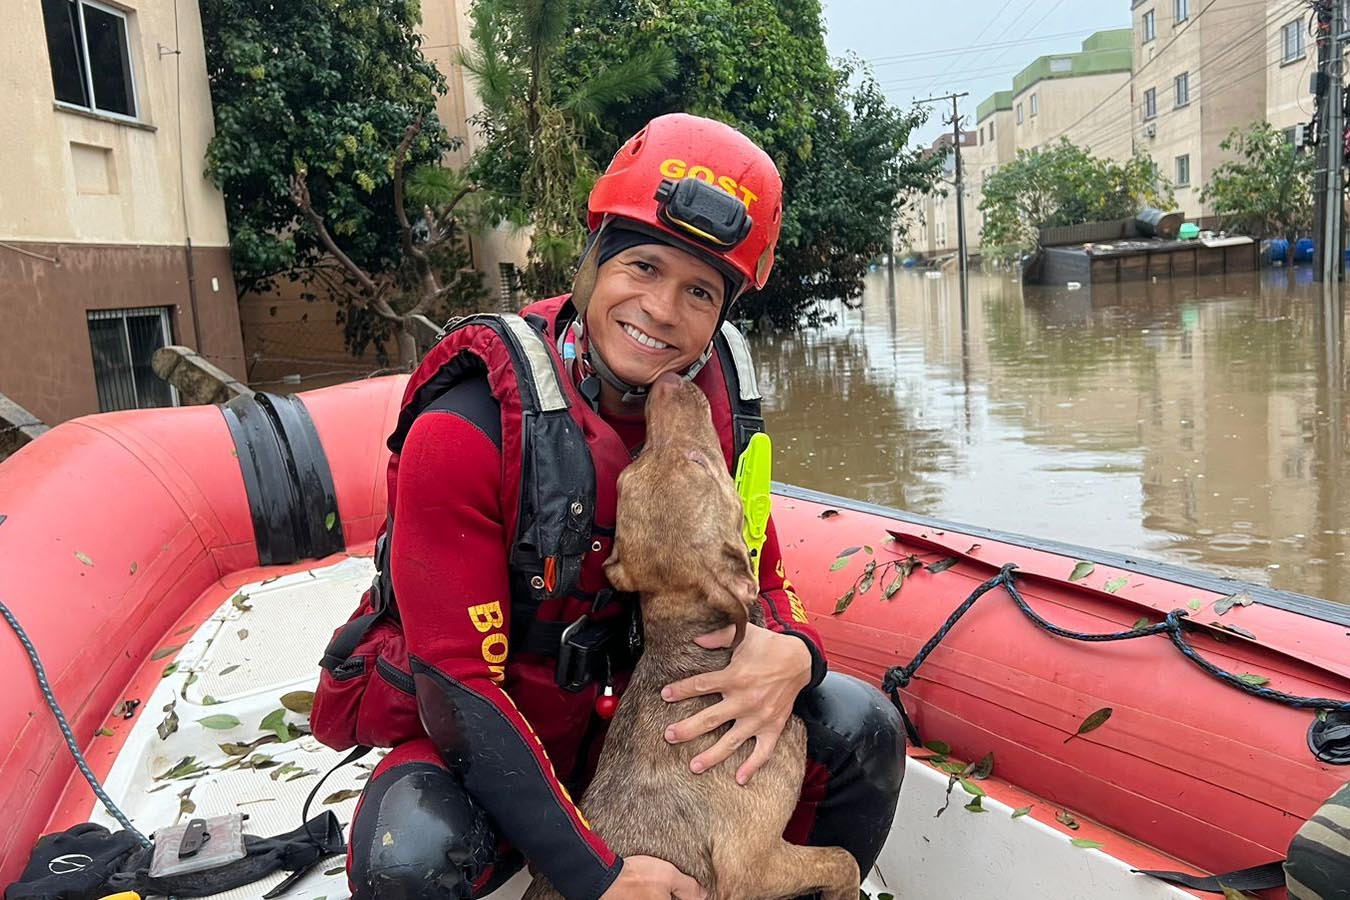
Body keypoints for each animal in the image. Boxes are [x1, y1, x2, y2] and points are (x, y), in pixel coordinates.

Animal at [521, 372, 858, 900]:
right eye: (699, 463)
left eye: (628, 473)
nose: (664, 382)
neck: (687, 648)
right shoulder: (753, 866)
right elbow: (846, 859)